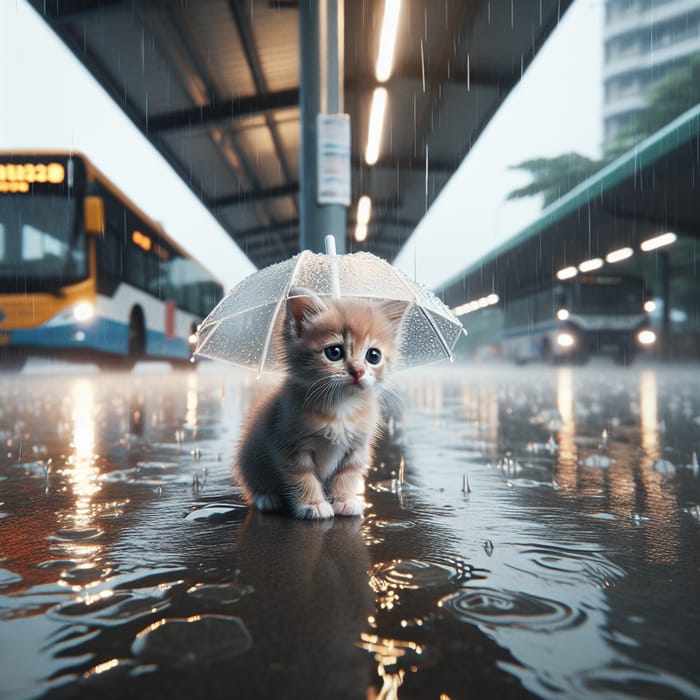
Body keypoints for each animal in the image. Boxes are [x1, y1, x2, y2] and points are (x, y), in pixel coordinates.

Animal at [234, 286, 404, 520]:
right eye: (334, 352)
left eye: (373, 356)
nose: (358, 371)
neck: (341, 407)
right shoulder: (290, 447)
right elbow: (303, 478)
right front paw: (313, 505)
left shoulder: (356, 448)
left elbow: (347, 475)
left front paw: (344, 501)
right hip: (250, 457)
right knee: (254, 483)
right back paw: (267, 498)